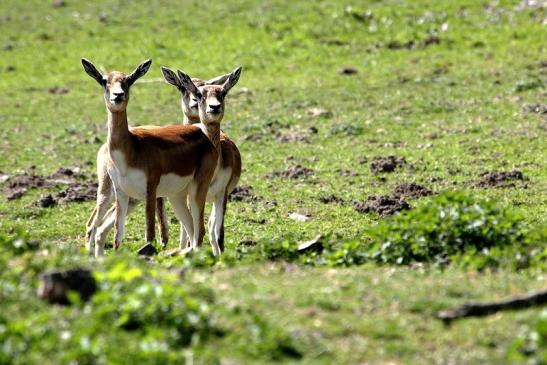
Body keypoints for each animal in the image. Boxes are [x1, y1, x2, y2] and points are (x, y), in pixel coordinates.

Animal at [81, 57, 218, 256]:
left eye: (128, 80)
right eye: (105, 81)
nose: (118, 95)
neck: (131, 150)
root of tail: (203, 136)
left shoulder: (150, 190)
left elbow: (150, 235)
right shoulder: (121, 192)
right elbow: (117, 237)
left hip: (196, 190)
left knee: (199, 231)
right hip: (174, 196)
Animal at [174, 67, 243, 253]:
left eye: (223, 92)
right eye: (199, 94)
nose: (214, 107)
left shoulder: (222, 194)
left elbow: (218, 234)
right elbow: (194, 230)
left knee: (211, 228)